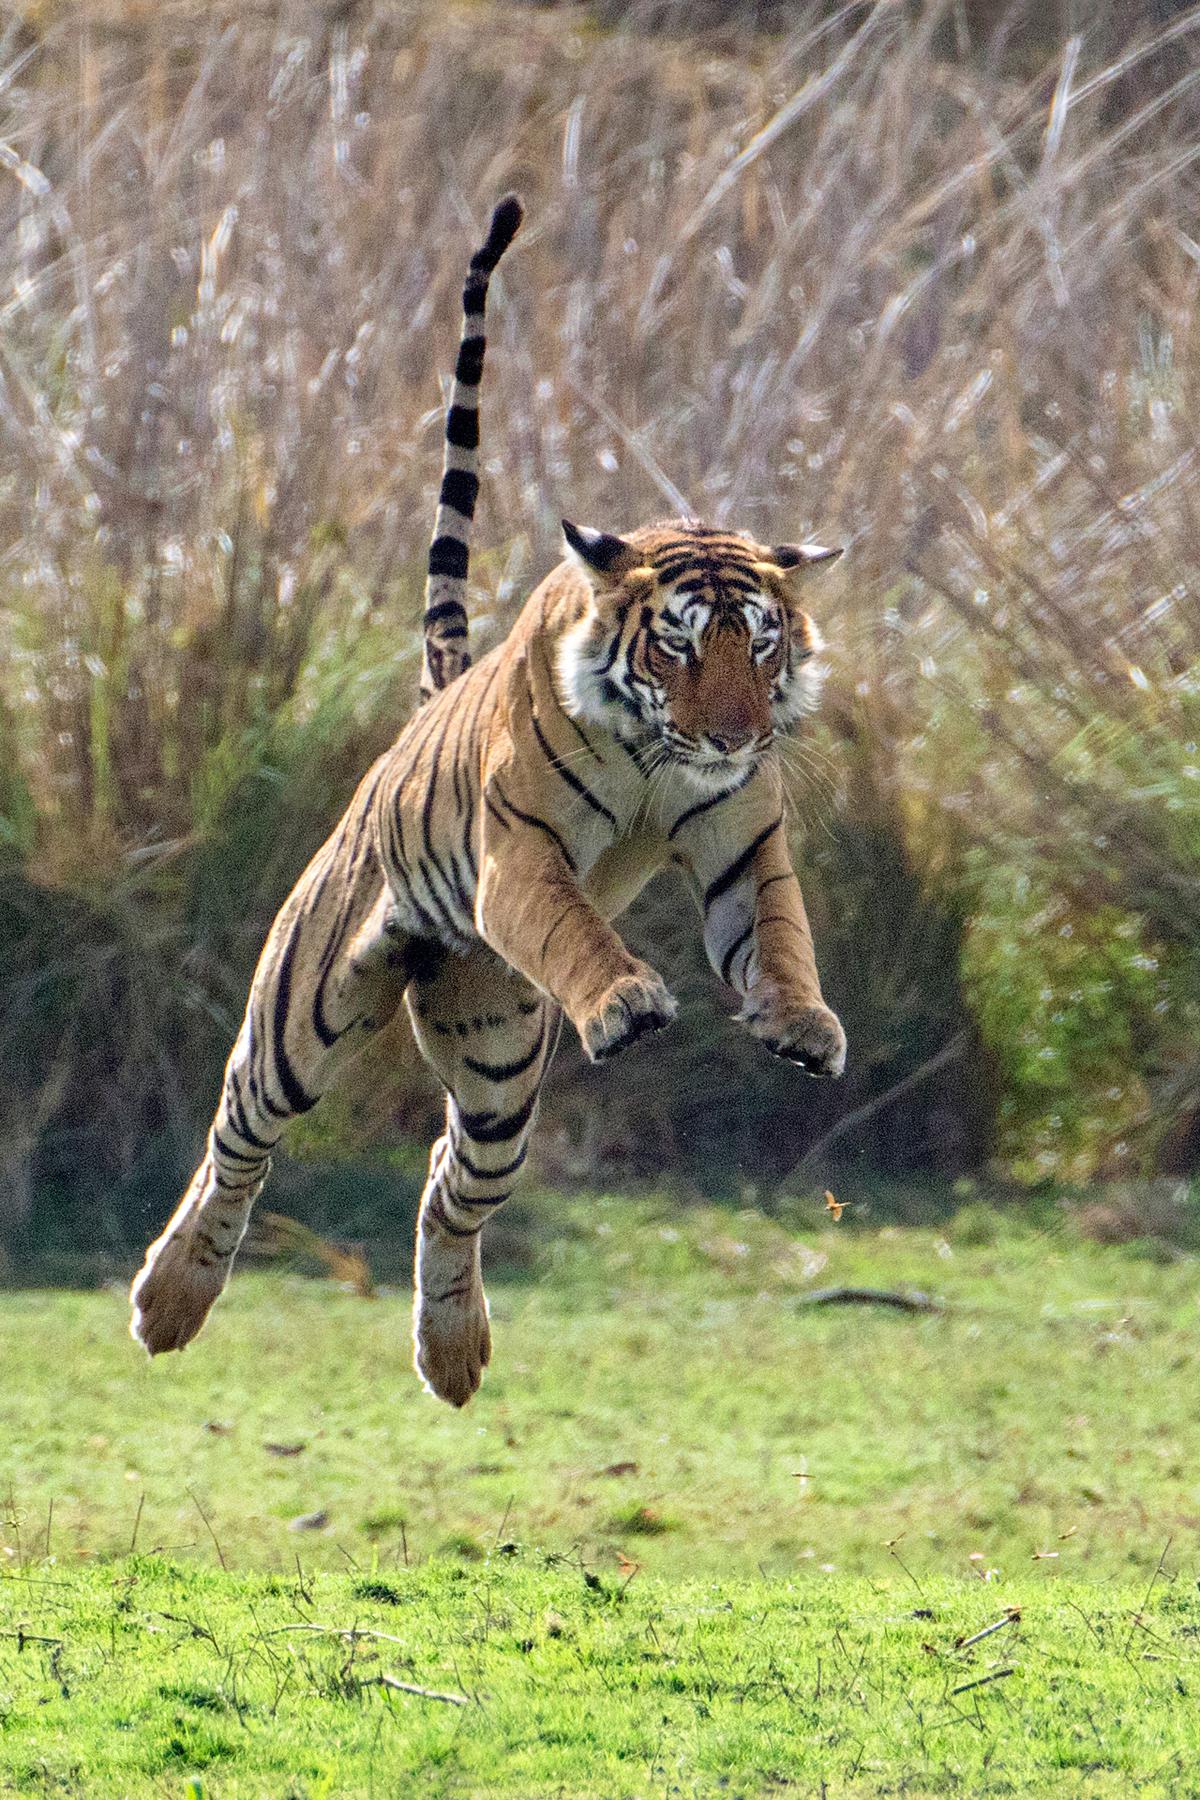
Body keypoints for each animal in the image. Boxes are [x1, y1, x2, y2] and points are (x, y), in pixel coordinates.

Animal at [129, 197, 845, 1404]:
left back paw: (453, 1352)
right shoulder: (524, 861)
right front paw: (627, 1002)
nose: (736, 736)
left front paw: (801, 1023)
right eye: (680, 647)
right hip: (299, 1014)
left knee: (448, 1182)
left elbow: (780, 940)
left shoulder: (746, 848)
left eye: (761, 643)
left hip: (503, 1065)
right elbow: (579, 933)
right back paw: (169, 1300)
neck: (661, 760)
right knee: (239, 1142)